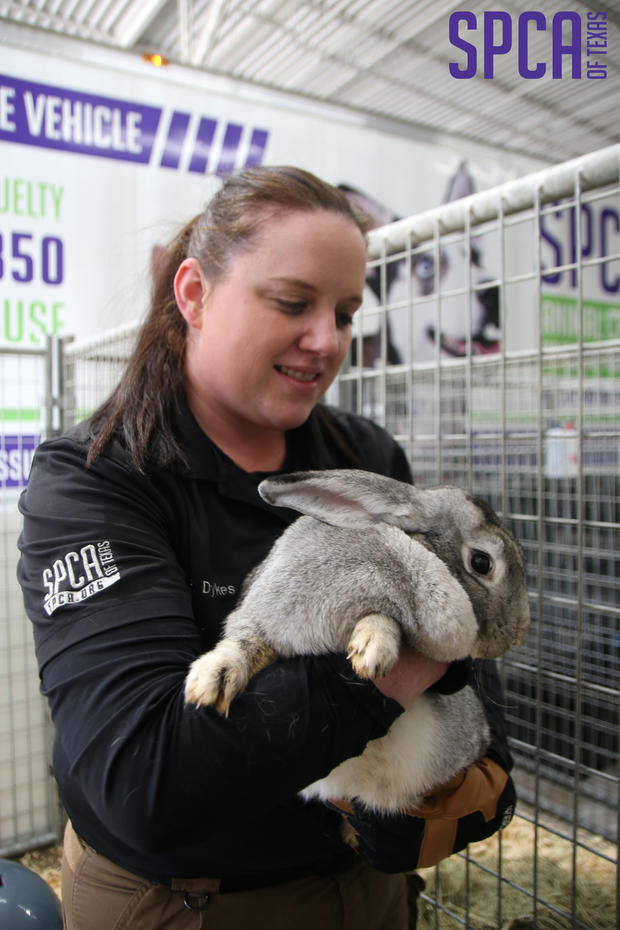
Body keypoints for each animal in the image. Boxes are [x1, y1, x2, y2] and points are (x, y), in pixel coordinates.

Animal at [184, 468, 528, 808]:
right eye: (482, 563)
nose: (515, 635)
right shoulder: (264, 615)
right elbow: (244, 643)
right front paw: (211, 682)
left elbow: (384, 617)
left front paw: (373, 650)